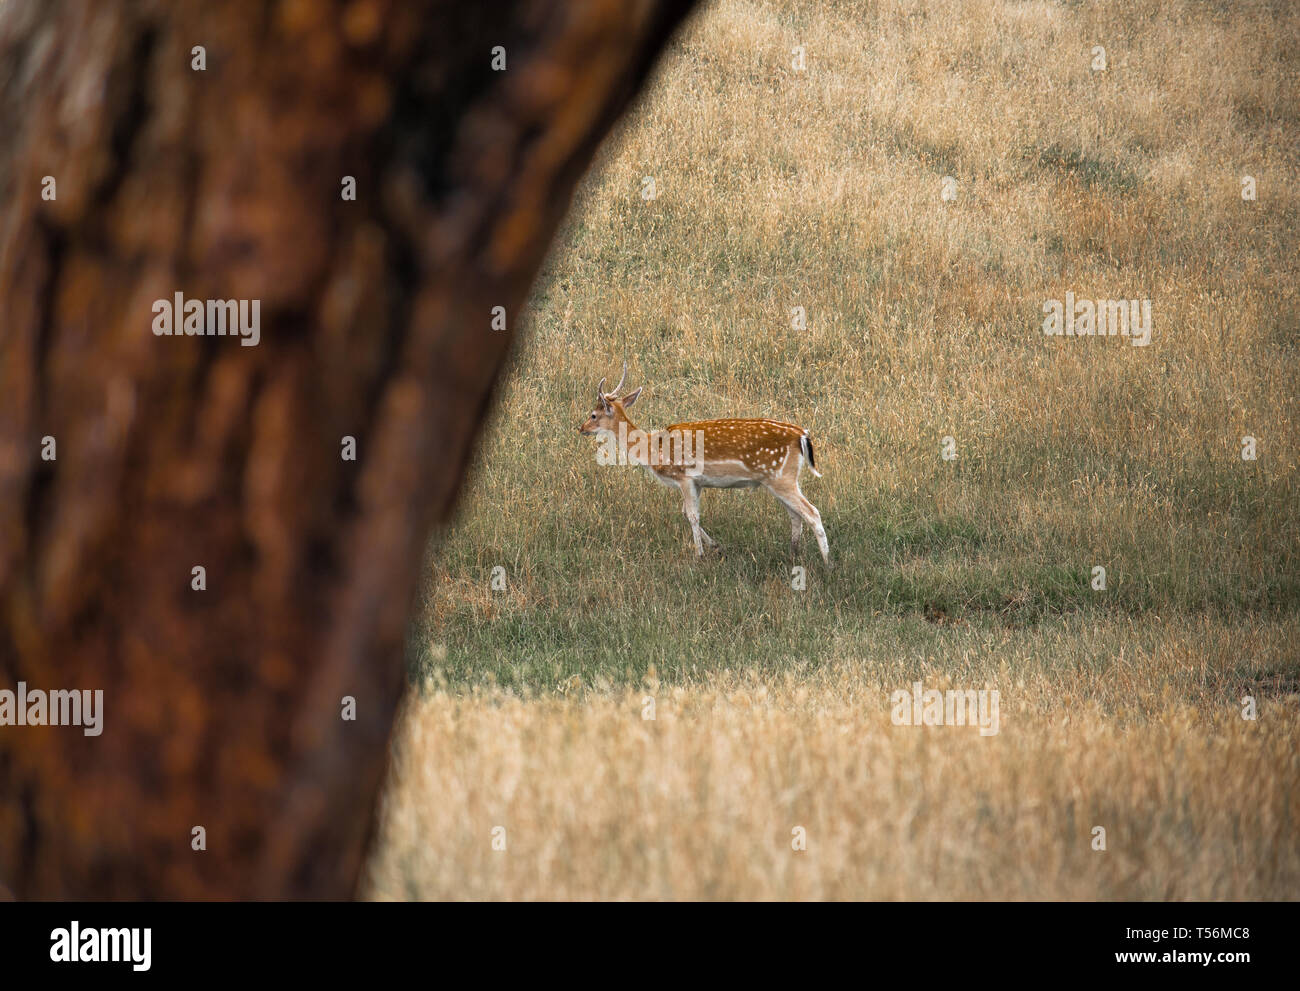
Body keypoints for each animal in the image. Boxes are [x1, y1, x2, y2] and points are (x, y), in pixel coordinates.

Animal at [579, 364, 832, 564]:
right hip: (779, 480)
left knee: (812, 512)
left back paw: (827, 563)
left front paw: (699, 555)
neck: (653, 449)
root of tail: (802, 435)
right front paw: (717, 547)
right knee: (796, 515)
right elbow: (686, 512)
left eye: (593, 415)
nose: (580, 428)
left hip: (781, 477)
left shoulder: (684, 476)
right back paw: (793, 555)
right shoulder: (698, 482)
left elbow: (692, 515)